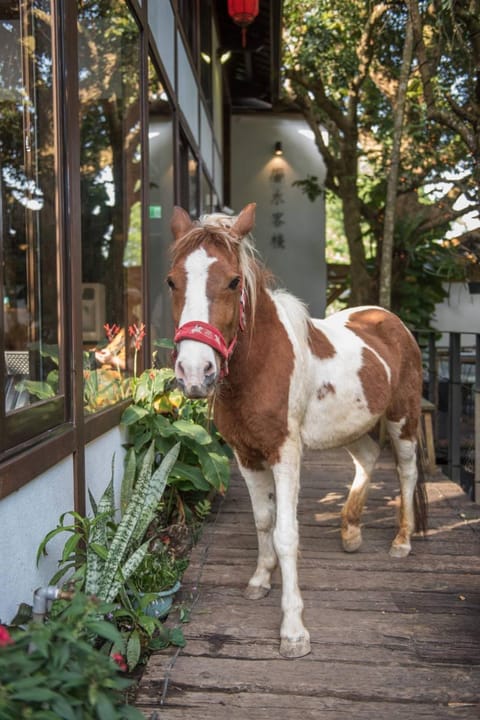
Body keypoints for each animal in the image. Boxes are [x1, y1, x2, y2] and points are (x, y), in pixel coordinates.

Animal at [168, 202, 428, 660]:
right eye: (171, 281)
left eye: (233, 281)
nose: (195, 373)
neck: (259, 365)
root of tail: (390, 320)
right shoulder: (246, 455)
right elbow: (263, 521)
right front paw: (260, 579)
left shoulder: (285, 452)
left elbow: (286, 534)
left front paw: (293, 630)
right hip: (352, 424)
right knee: (367, 459)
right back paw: (350, 531)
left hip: (403, 419)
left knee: (406, 470)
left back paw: (401, 541)